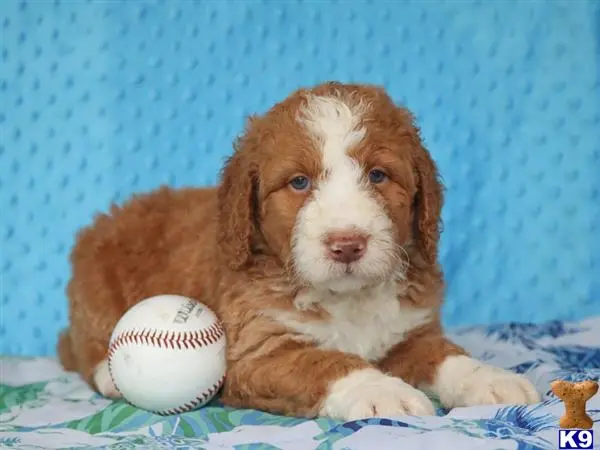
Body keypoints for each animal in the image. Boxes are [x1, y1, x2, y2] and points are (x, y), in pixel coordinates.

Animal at [58, 81, 540, 422]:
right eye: (299, 183)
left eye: (378, 175)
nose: (347, 245)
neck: (347, 299)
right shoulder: (257, 352)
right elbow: (324, 362)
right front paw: (380, 390)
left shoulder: (410, 332)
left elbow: (444, 354)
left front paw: (487, 378)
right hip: (94, 288)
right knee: (78, 346)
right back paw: (108, 376)